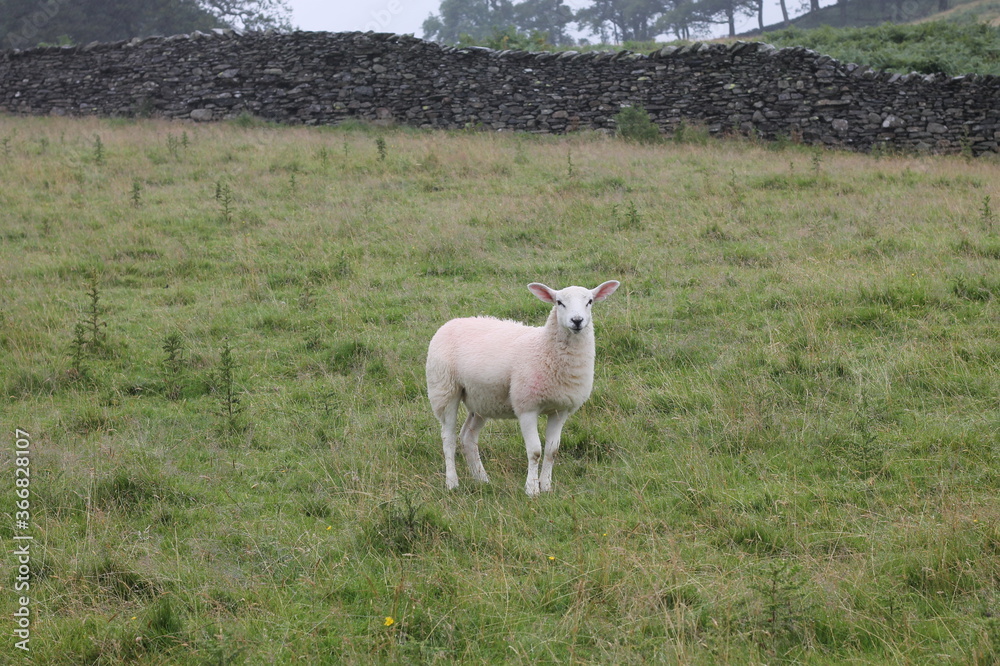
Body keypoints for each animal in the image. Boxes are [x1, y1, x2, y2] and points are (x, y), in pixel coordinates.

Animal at [426, 280, 620, 496]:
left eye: (590, 301)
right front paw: (532, 489)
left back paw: (482, 479)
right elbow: (535, 451)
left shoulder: (560, 410)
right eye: (559, 302)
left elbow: (552, 451)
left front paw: (546, 486)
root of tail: (451, 322)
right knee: (448, 438)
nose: (577, 321)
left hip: (482, 399)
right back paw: (452, 482)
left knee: (468, 436)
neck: (545, 348)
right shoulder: (527, 406)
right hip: (444, 390)